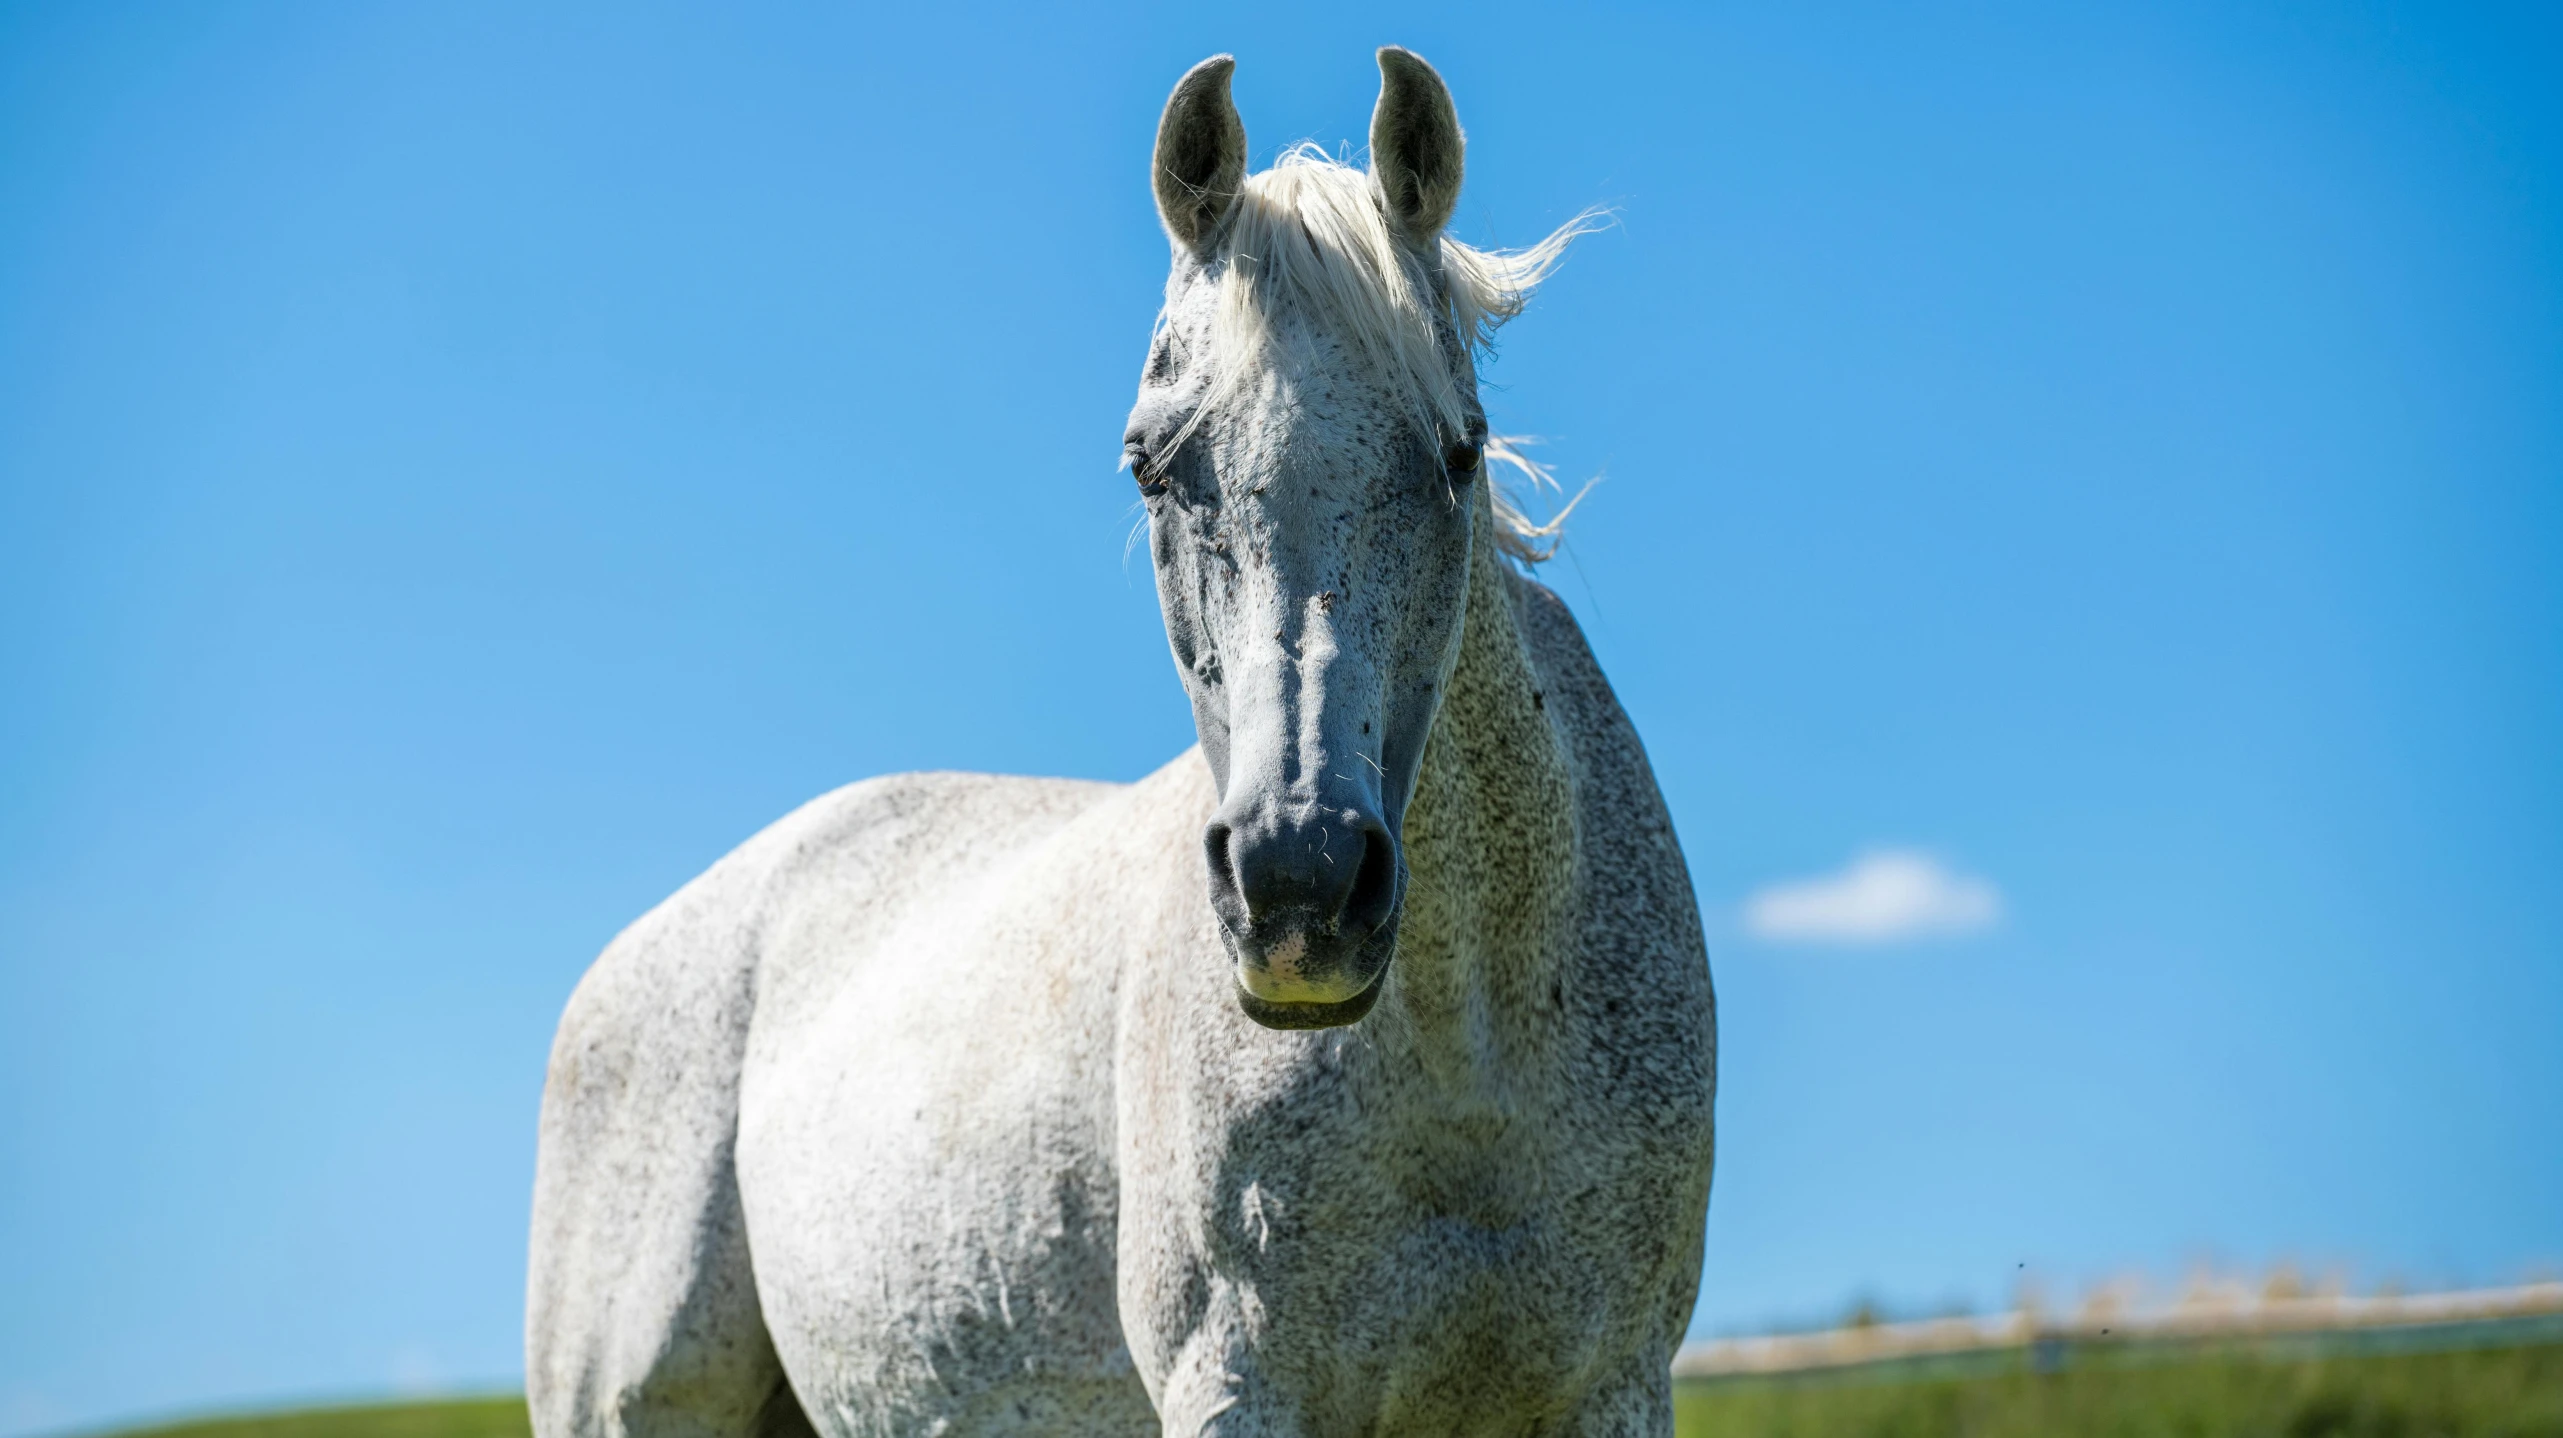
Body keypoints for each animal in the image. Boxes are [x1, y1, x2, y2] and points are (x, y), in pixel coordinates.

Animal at [527, 47, 1712, 1435]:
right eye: (1150, 464)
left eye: (1459, 452)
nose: (1299, 885)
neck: (1470, 1056)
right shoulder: (1234, 1380)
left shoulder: (1612, 1384)